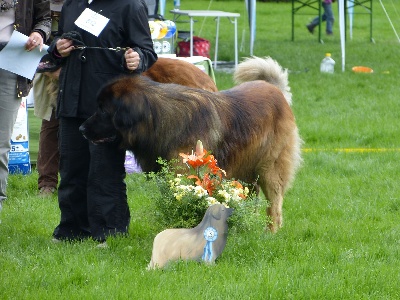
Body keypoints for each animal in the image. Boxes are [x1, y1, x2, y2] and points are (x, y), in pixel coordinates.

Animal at [79, 56, 302, 232]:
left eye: (103, 110)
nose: (81, 128)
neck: (157, 117)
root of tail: (274, 89)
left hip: (269, 169)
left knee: (274, 205)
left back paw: (270, 232)